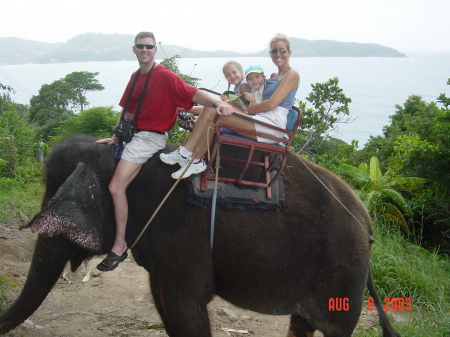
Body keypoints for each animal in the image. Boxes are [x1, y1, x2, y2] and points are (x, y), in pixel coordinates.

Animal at [0, 135, 400, 336]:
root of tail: (367, 222)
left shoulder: (183, 238)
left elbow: (185, 309)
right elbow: (166, 307)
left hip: (343, 272)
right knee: (300, 325)